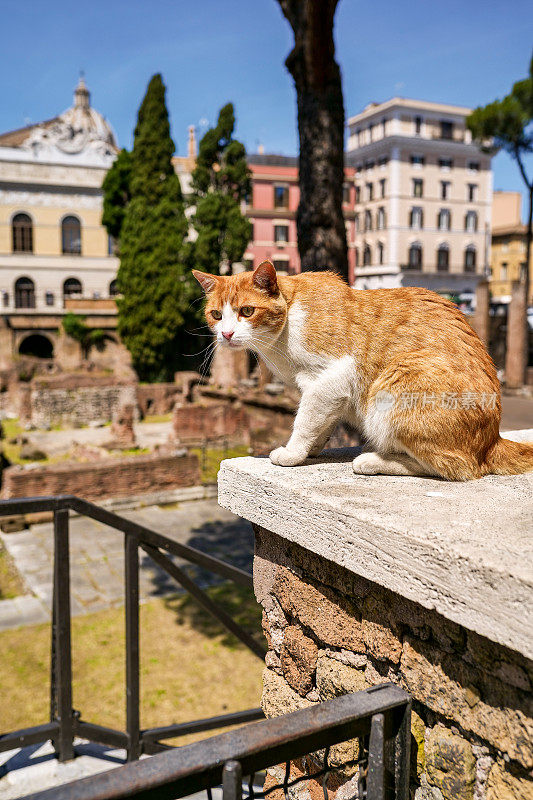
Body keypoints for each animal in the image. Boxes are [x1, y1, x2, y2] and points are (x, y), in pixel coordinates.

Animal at [192, 260, 532, 482]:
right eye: (216, 315)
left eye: (247, 311)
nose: (226, 334)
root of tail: (492, 440)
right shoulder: (329, 393)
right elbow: (321, 422)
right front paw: (311, 450)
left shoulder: (331, 376)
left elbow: (304, 421)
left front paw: (292, 453)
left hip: (396, 382)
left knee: (456, 468)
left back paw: (374, 460)